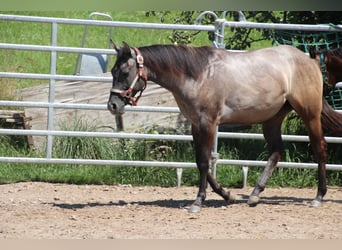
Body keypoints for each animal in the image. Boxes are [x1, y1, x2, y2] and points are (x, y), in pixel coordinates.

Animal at [107, 41, 342, 213]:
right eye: (112, 71)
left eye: (125, 72)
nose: (113, 105)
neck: (198, 75)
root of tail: (310, 61)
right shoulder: (196, 125)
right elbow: (200, 161)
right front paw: (227, 194)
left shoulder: (209, 123)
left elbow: (204, 162)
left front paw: (198, 202)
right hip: (272, 119)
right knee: (276, 152)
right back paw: (254, 195)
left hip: (309, 114)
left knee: (320, 148)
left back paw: (318, 196)